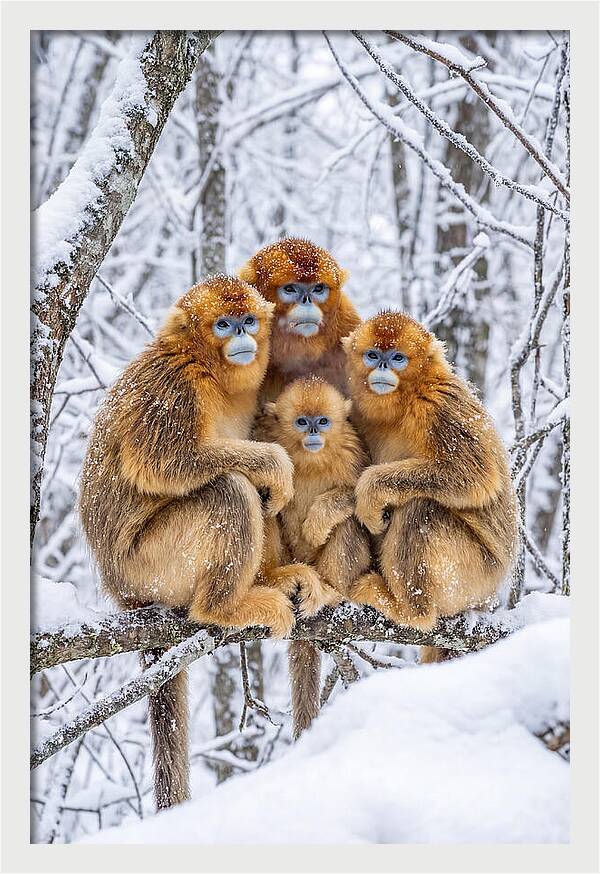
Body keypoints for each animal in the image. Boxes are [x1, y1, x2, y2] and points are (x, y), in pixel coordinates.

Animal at [79, 275, 307, 810]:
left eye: (247, 320)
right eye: (223, 324)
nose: (242, 335)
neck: (210, 369)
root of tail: (122, 592)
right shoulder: (174, 386)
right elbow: (164, 464)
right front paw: (273, 461)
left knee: (255, 496)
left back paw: (271, 579)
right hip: (151, 565)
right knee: (230, 490)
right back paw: (224, 607)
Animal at [261, 377, 373, 737]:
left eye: (322, 421)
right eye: (301, 421)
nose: (312, 431)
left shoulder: (353, 451)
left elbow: (361, 497)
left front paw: (317, 522)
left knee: (349, 523)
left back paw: (331, 591)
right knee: (264, 504)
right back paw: (276, 579)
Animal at [342, 310, 518, 662]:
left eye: (397, 358)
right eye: (373, 355)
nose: (383, 367)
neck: (406, 400)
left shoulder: (438, 404)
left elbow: (475, 476)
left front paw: (371, 491)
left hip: (474, 576)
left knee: (420, 509)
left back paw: (411, 611)